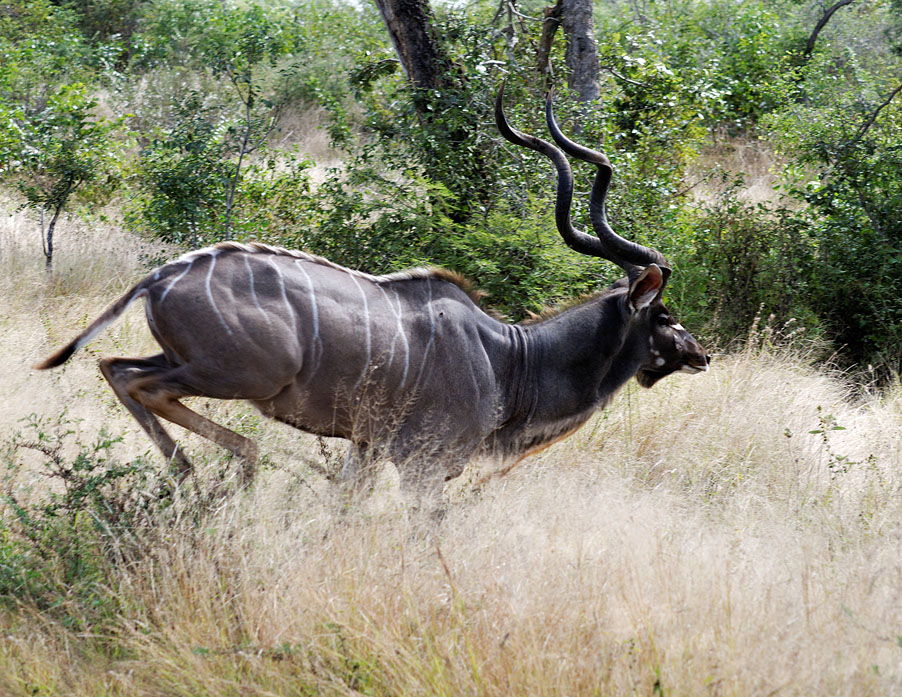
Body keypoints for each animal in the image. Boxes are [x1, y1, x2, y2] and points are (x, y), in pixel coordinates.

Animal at [35, 88, 708, 506]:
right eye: (664, 314)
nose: (701, 354)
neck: (507, 358)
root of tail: (159, 277)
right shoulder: (422, 470)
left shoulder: (365, 451)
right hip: (240, 374)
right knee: (149, 387)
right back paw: (237, 469)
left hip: (184, 359)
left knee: (114, 366)